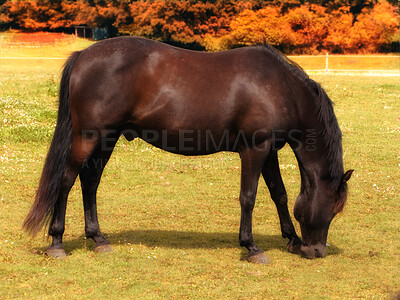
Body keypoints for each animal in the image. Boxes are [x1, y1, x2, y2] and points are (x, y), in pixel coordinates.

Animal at [22, 37, 354, 262]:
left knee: (90, 182)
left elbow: (279, 194)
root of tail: (82, 56)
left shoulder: (268, 150)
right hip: (88, 137)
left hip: (107, 138)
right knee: (66, 181)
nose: (316, 251)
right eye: (333, 209)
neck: (280, 87)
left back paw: (99, 239)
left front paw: (292, 239)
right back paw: (57, 243)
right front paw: (251, 247)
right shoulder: (254, 149)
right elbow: (248, 197)